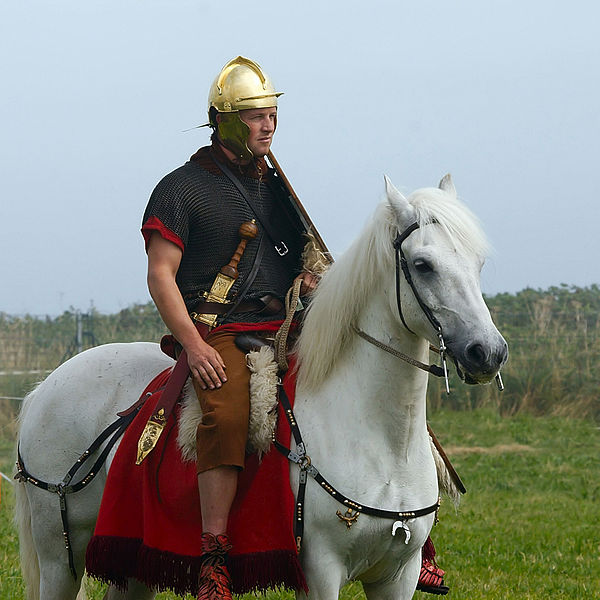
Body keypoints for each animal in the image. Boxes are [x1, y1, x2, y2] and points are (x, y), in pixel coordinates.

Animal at [15, 175, 506, 600]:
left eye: (479, 263)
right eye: (423, 265)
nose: (487, 352)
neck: (380, 441)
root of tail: (43, 389)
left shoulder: (397, 576)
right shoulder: (320, 572)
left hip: (130, 559)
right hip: (59, 558)